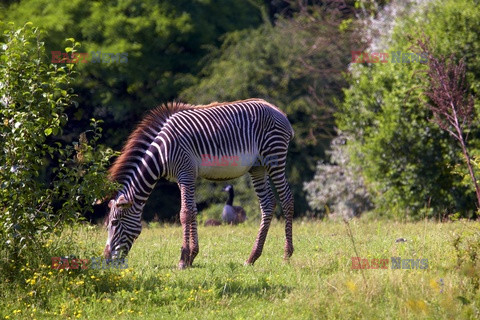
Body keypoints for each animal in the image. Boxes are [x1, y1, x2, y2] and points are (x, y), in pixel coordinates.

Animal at [103, 97, 294, 268]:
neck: (161, 153)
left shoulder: (186, 173)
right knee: (268, 204)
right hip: (258, 167)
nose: (106, 260)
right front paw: (192, 256)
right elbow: (193, 211)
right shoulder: (182, 178)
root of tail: (278, 110)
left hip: (274, 158)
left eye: (114, 223)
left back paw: (286, 254)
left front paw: (183, 259)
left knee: (287, 199)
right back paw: (252, 257)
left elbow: (185, 214)